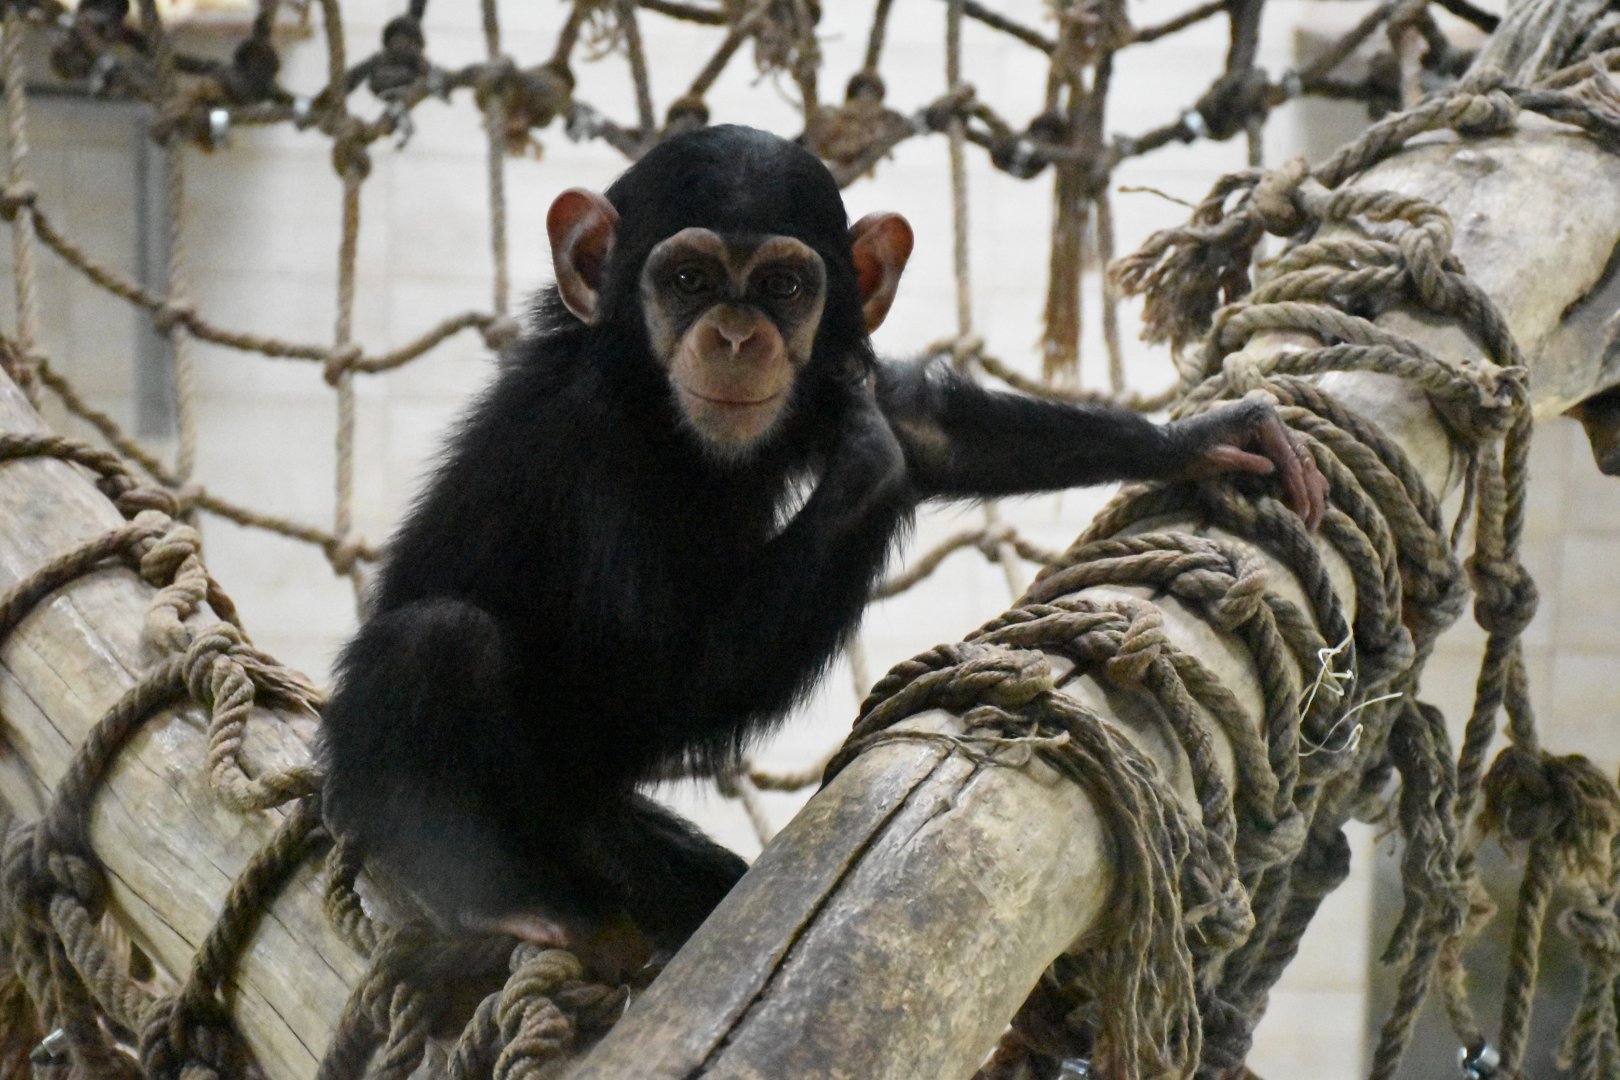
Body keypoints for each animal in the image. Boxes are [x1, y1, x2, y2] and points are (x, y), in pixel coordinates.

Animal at [318, 124, 1328, 974]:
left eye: (783, 287)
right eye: (688, 281)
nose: (735, 336)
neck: (653, 404)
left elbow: (931, 429)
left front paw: (1204, 438)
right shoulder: (588, 447)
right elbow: (640, 673)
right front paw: (868, 466)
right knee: (439, 641)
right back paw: (486, 898)